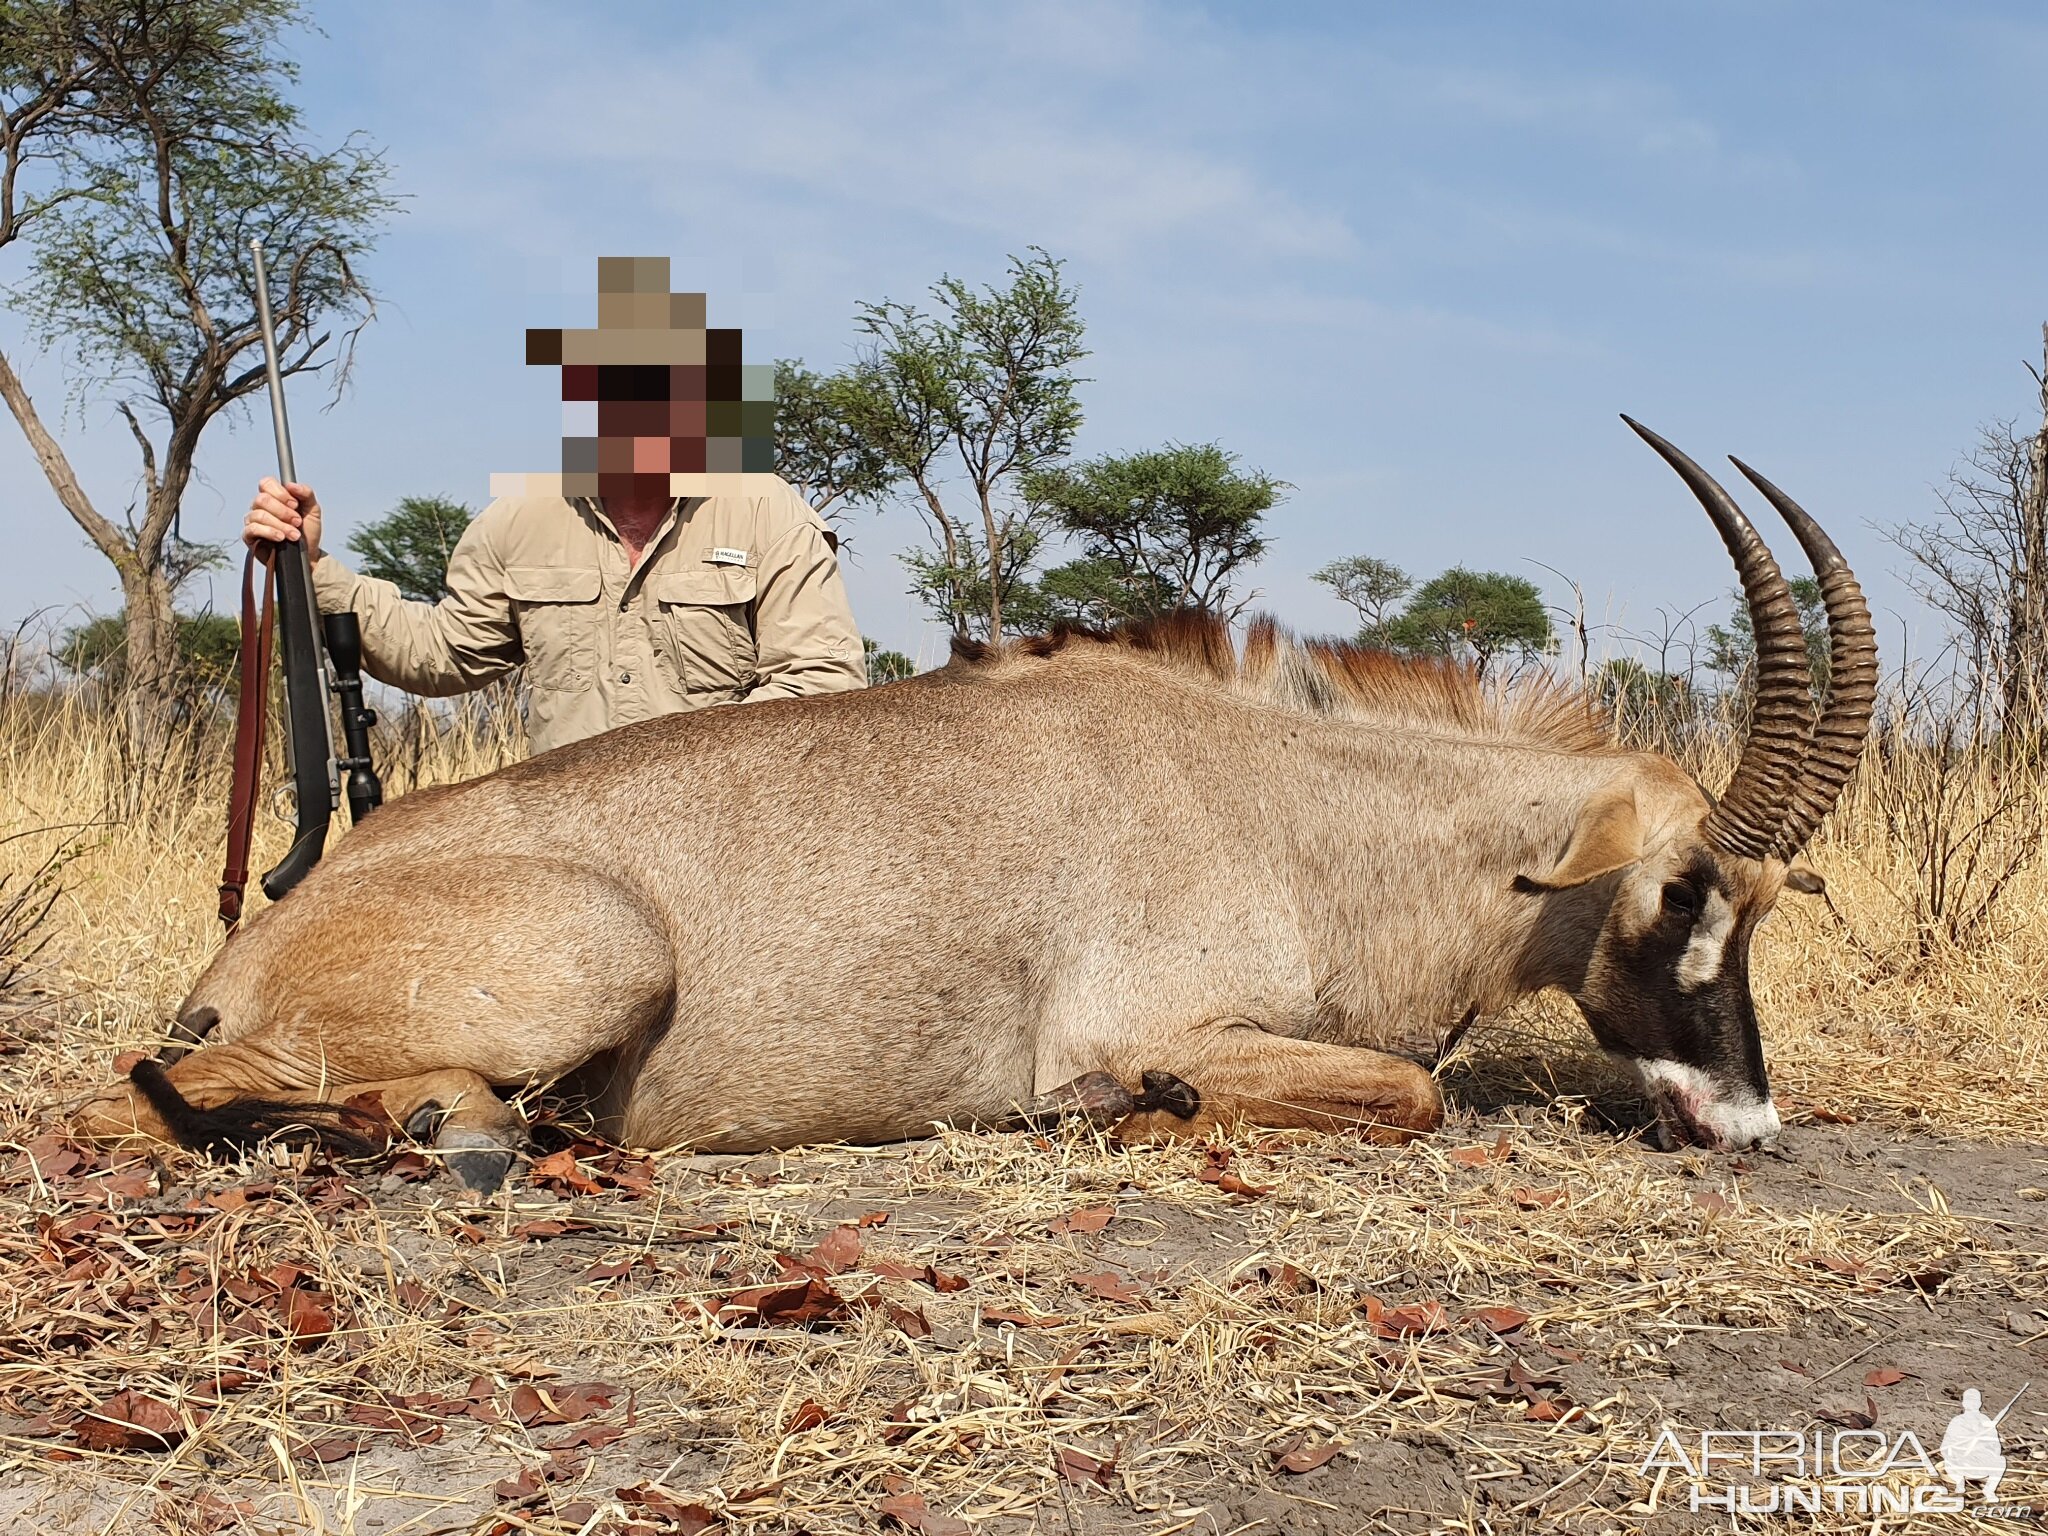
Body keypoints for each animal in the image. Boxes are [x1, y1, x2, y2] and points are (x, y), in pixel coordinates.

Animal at [75, 421, 1875, 1187]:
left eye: (1759, 910)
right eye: (1676, 896)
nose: (1744, 1122)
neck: (1297, 805)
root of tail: (259, 939)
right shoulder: (1162, 1022)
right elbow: (1406, 1094)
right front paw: (1132, 1113)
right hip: (599, 955)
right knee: (146, 1094)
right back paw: (444, 1127)